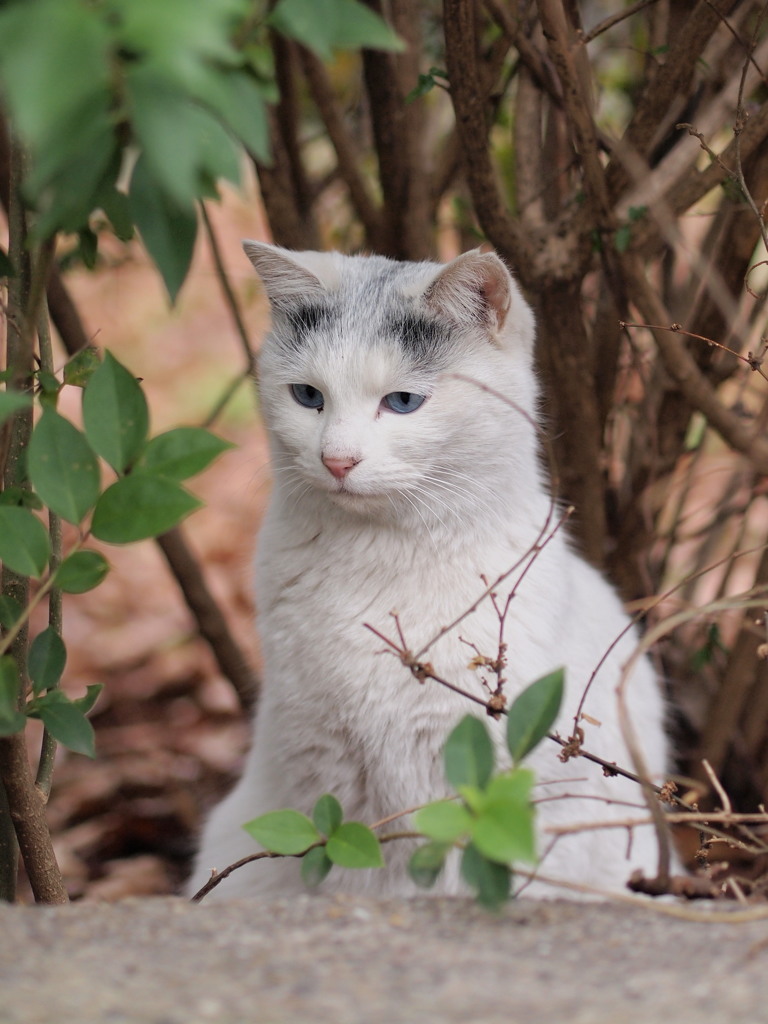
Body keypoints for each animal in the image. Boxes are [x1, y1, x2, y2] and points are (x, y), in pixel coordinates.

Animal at [189, 243, 675, 901]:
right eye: (308, 396)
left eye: (402, 402)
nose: (336, 460)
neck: (377, 562)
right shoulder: (323, 764)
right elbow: (342, 866)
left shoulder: (474, 780)